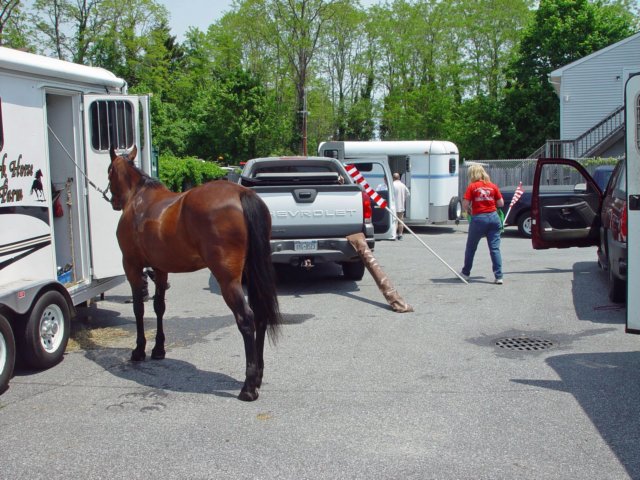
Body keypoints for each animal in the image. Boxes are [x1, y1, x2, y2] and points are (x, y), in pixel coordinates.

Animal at [107, 146, 280, 402]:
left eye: (109, 171)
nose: (114, 201)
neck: (139, 198)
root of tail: (241, 194)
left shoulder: (132, 266)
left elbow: (139, 308)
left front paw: (139, 350)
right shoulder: (160, 268)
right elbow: (159, 307)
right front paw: (158, 349)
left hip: (229, 281)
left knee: (246, 319)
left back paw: (248, 388)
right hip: (252, 274)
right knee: (259, 316)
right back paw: (257, 377)